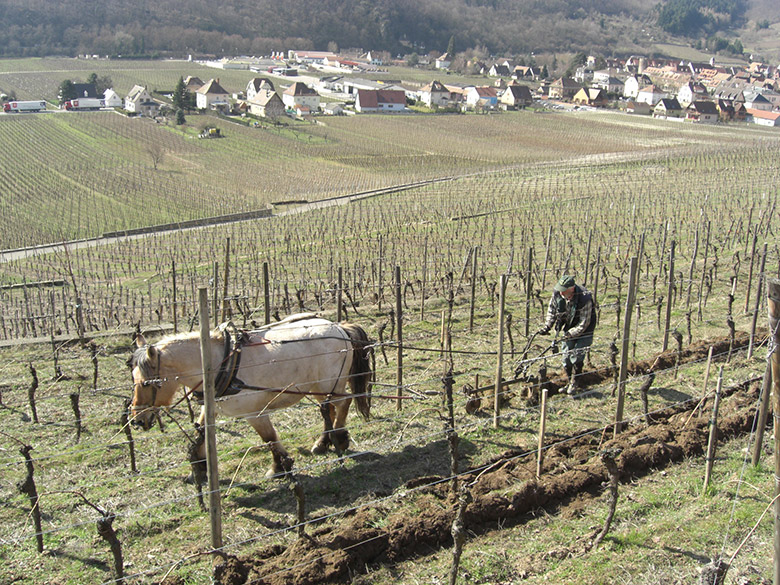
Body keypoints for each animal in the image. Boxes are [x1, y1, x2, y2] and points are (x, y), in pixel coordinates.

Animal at [129, 312, 374, 476]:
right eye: (133, 379)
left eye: (148, 383)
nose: (137, 420)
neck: (217, 364)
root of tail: (339, 327)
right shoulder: (212, 407)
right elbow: (202, 432)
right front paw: (198, 466)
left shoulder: (254, 413)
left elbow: (269, 438)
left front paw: (279, 466)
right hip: (317, 388)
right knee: (329, 410)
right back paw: (323, 443)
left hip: (328, 384)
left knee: (343, 404)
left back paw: (340, 437)